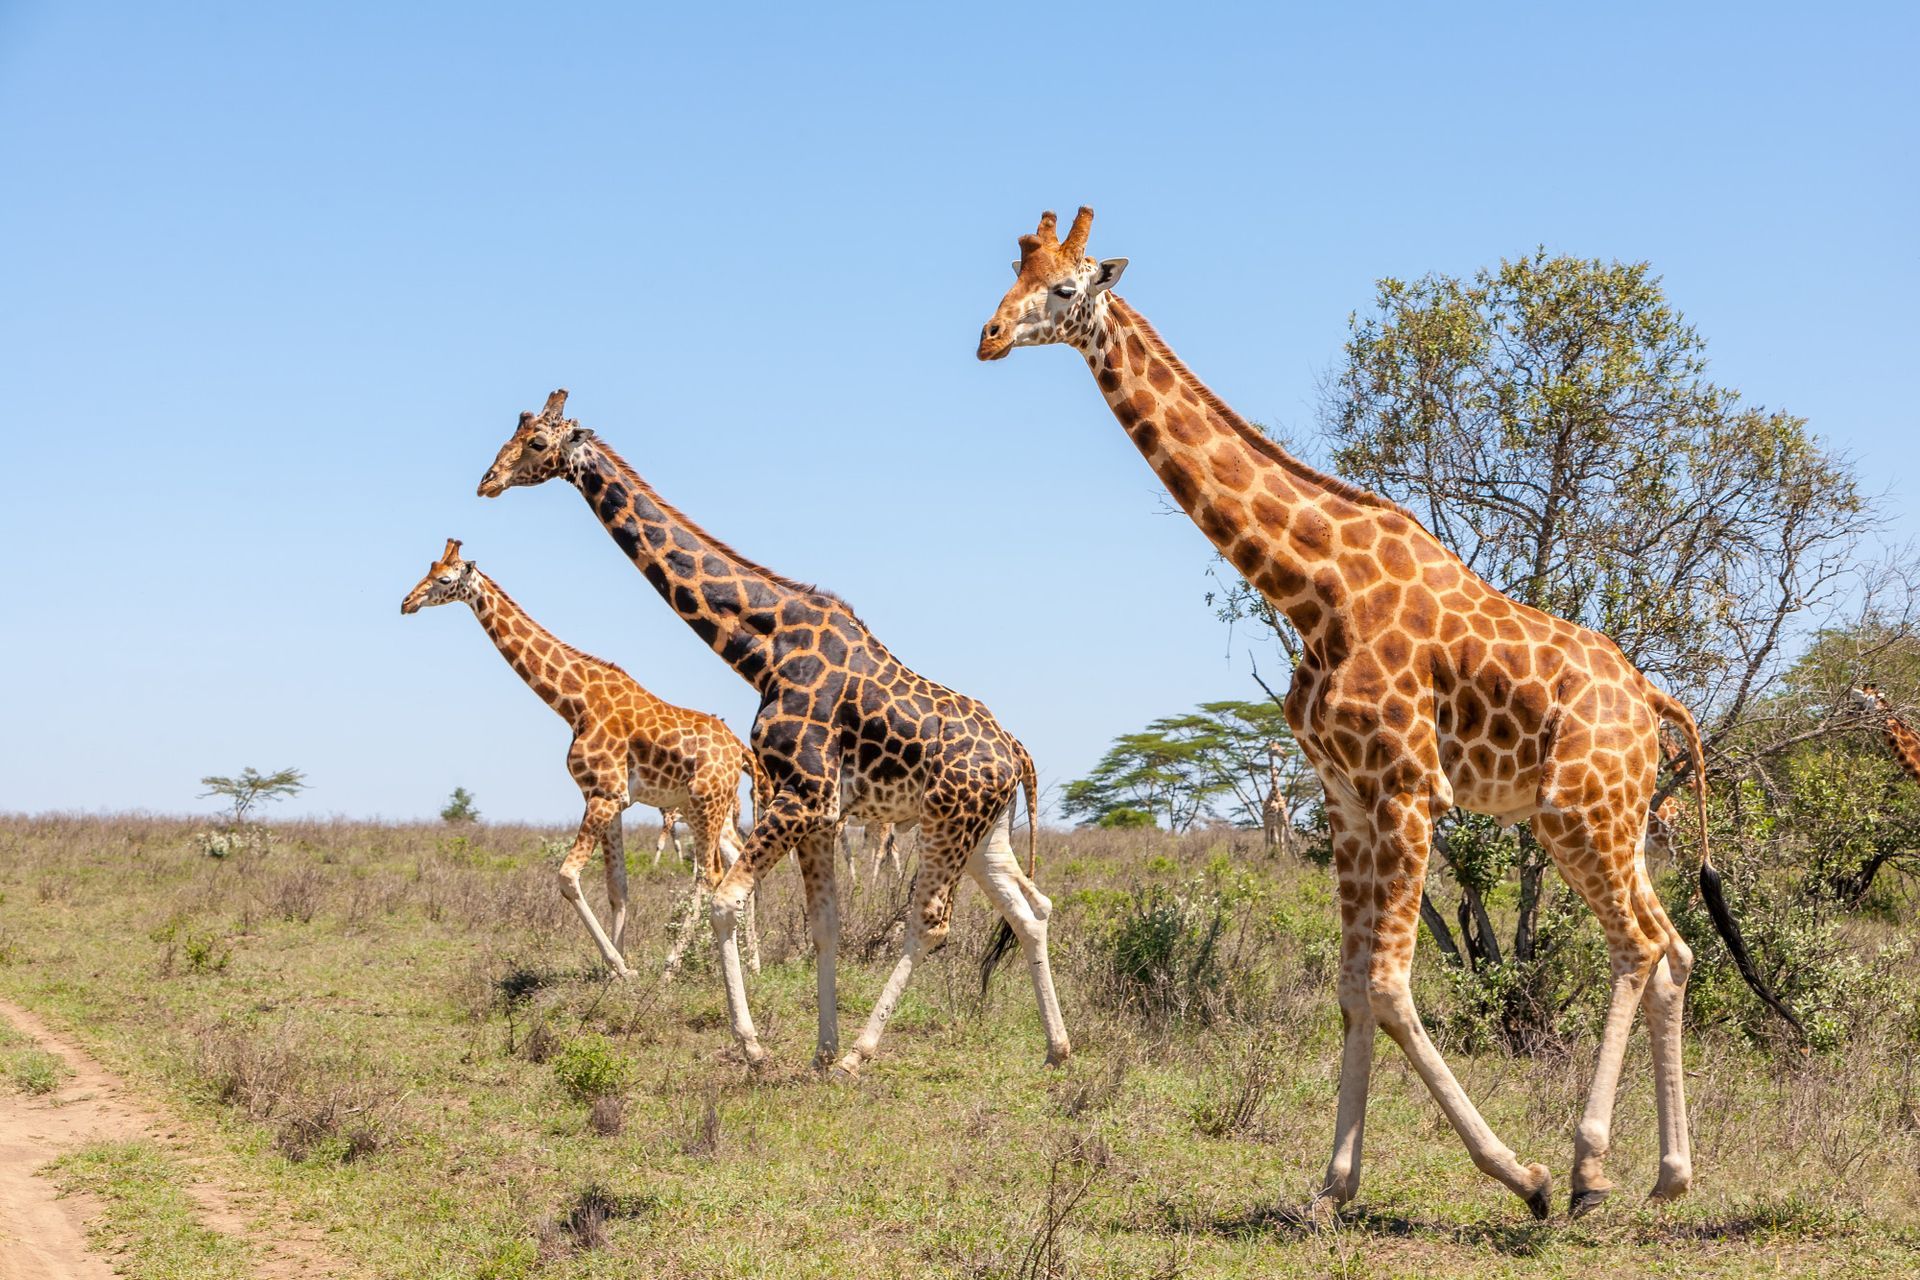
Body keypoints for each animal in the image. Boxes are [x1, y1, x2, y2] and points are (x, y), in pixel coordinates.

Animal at [401, 538, 762, 978]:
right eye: (427, 570)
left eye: (444, 580)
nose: (407, 602)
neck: (575, 703)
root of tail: (739, 750)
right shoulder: (611, 799)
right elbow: (617, 886)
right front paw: (618, 967)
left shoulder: (603, 795)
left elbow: (567, 876)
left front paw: (620, 967)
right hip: (711, 808)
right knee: (735, 863)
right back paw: (754, 963)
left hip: (705, 804)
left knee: (708, 875)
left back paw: (671, 967)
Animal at [477, 392, 1068, 1076]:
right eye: (512, 434)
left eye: (537, 444)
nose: (487, 482)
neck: (765, 649)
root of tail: (1015, 752)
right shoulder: (820, 812)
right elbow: (824, 926)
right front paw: (819, 1049)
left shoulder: (804, 796)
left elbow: (724, 900)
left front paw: (757, 1046)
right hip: (982, 831)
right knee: (1029, 910)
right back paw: (1057, 1048)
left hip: (950, 822)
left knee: (932, 923)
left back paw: (862, 1054)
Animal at [977, 207, 1802, 1218]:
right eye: (1013, 275)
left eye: (1063, 288)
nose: (988, 336)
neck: (1312, 586)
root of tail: (1651, 697)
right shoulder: (1347, 799)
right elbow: (1349, 988)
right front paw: (1336, 1183)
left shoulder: (1410, 792)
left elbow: (1390, 983)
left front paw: (1518, 1175)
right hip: (1615, 818)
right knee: (1675, 949)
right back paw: (1670, 1173)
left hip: (1577, 812)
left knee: (1639, 945)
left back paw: (1585, 1167)